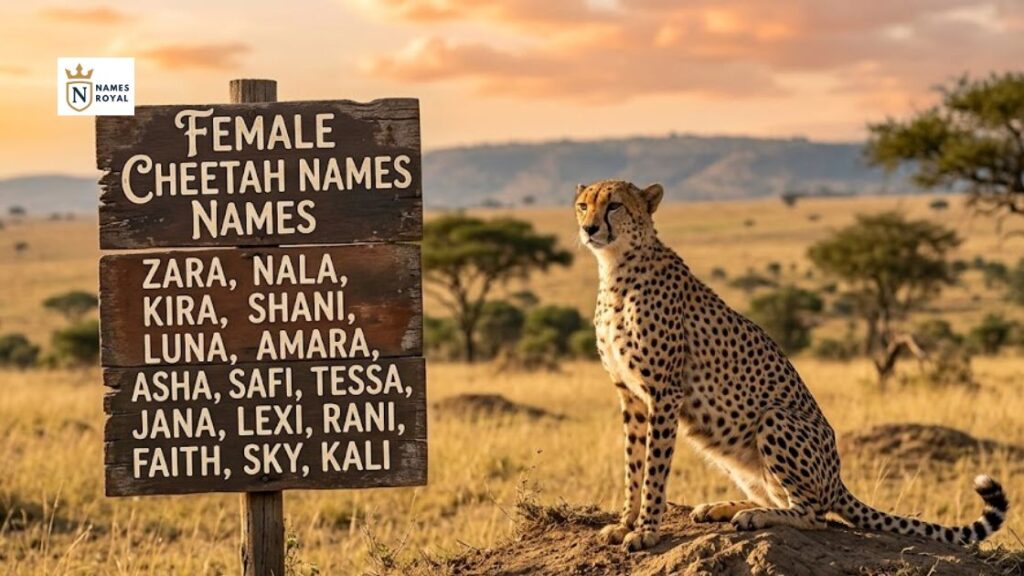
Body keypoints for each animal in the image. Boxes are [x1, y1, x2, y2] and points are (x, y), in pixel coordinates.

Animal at [574, 179, 1009, 552]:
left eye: (614, 205)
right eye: (583, 205)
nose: (590, 228)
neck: (616, 269)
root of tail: (837, 480)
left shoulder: (664, 392)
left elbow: (654, 469)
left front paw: (646, 530)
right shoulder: (631, 395)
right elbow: (633, 465)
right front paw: (625, 523)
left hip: (775, 418)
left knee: (814, 513)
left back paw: (756, 516)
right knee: (781, 496)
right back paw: (727, 508)